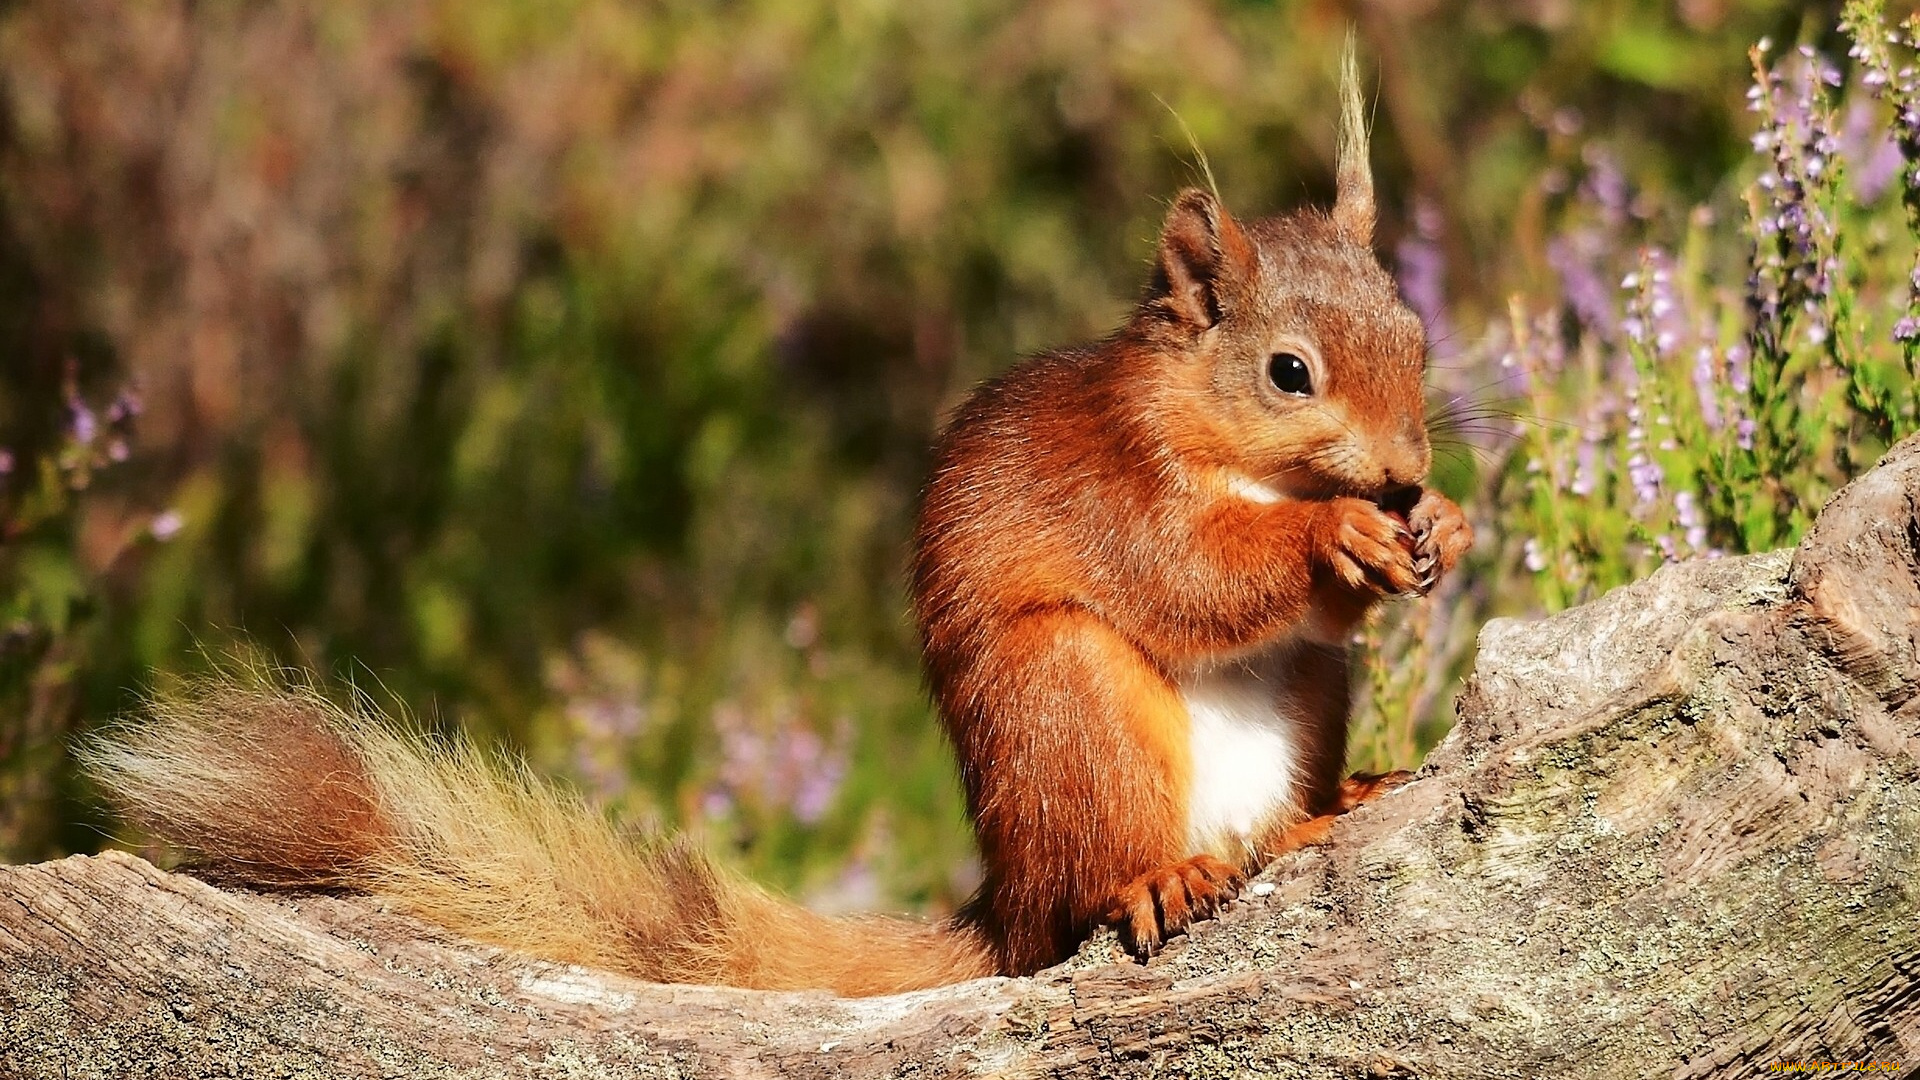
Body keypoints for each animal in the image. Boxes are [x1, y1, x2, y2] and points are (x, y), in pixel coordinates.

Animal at [82, 48, 1466, 991]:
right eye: (1288, 372)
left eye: (1414, 329)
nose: (1403, 470)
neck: (1227, 443)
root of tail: (1003, 900)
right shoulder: (1119, 488)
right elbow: (1190, 575)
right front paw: (1335, 538)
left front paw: (1442, 527)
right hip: (1066, 707)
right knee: (1086, 892)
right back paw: (1160, 876)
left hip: (1300, 701)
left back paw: (1335, 802)